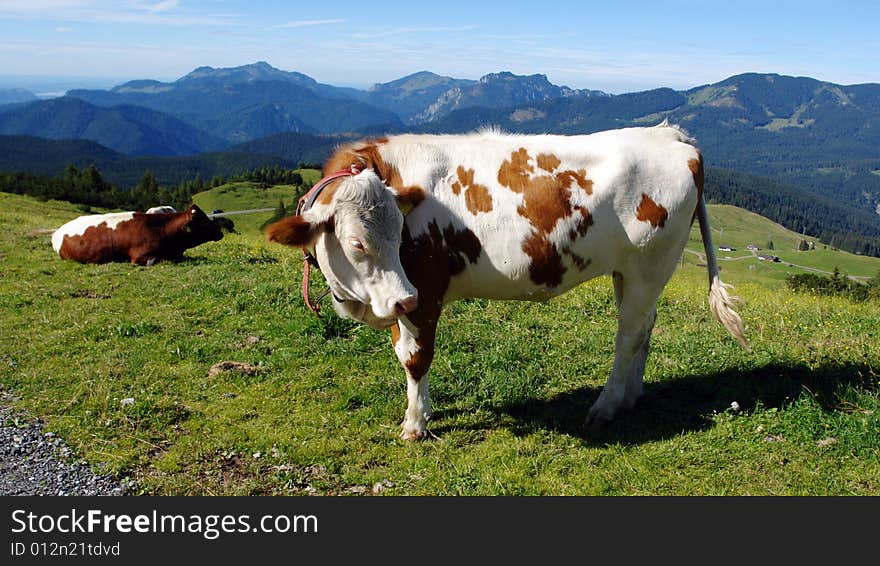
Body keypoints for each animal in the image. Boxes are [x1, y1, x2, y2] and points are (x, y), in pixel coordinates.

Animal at [264, 123, 744, 444]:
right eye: (357, 242)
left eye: (399, 232)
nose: (402, 300)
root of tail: (669, 134)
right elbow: (404, 353)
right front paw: (424, 411)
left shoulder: (425, 291)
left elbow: (416, 358)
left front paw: (415, 425)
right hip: (631, 272)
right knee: (644, 327)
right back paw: (630, 397)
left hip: (650, 265)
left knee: (627, 335)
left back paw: (605, 407)